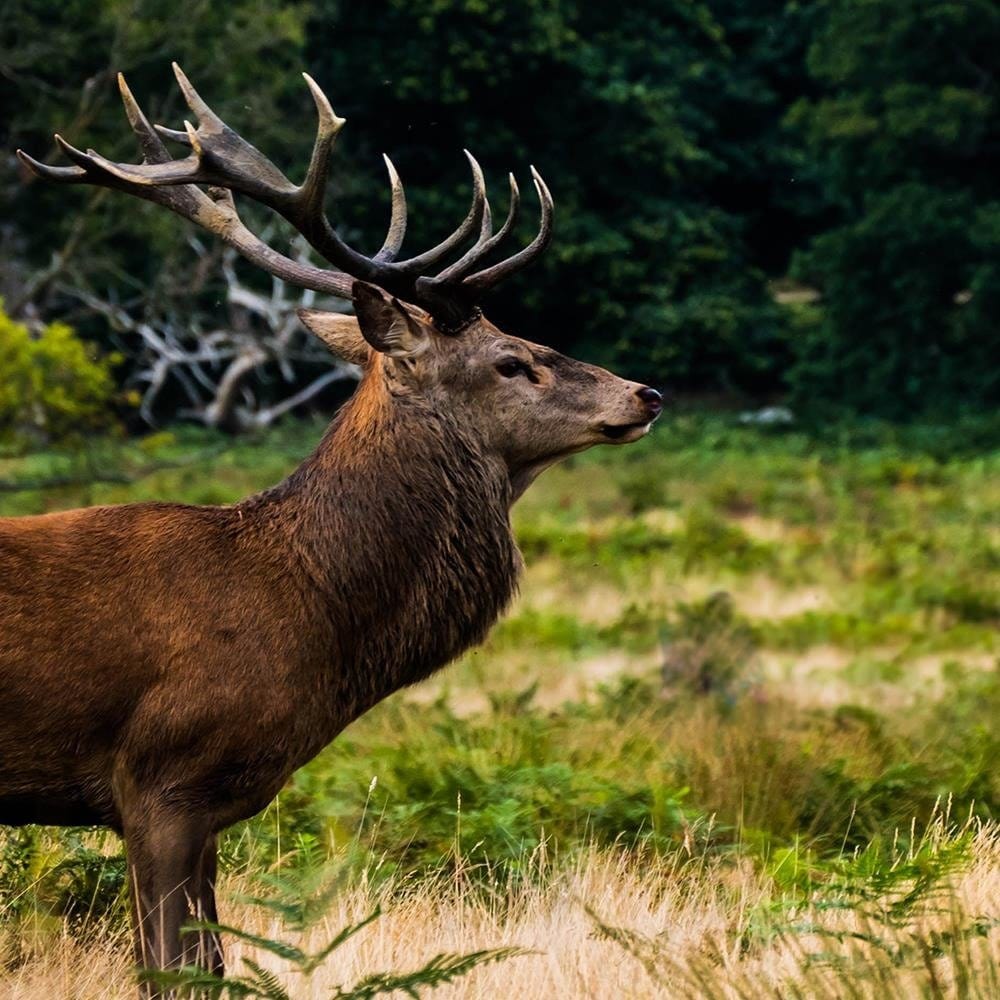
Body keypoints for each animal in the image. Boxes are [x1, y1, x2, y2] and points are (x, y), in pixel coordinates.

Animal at [5, 64, 663, 990]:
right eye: (511, 360)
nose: (646, 393)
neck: (306, 613)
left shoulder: (206, 807)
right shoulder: (159, 780)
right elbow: (173, 969)